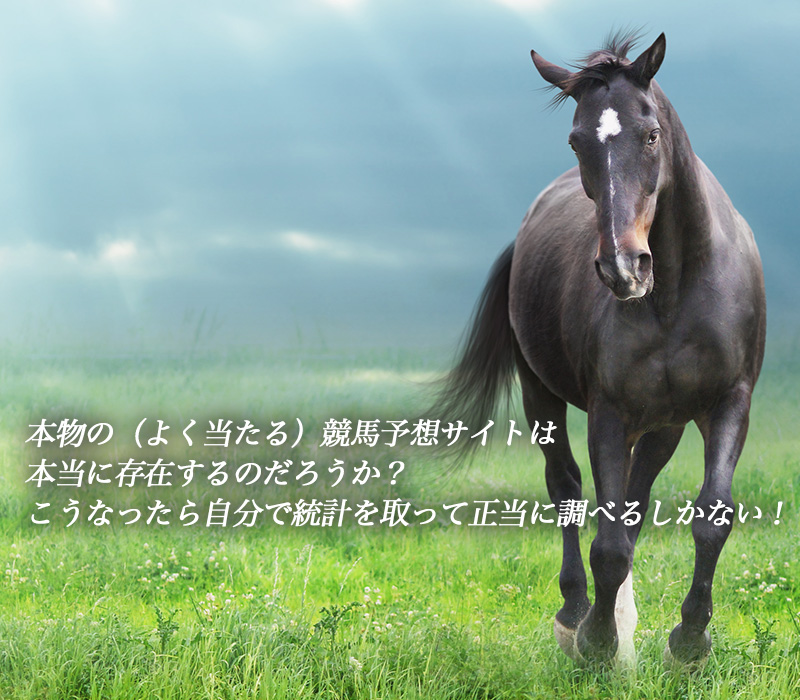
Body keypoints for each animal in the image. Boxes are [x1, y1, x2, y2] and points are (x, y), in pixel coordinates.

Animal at [432, 32, 766, 667]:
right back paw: (575, 614)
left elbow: (710, 519)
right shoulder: (608, 411)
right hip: (542, 396)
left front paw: (689, 642)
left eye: (651, 133)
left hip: (664, 423)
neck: (676, 292)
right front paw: (598, 641)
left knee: (635, 496)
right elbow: (606, 541)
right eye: (577, 139)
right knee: (565, 487)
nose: (623, 267)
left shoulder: (729, 402)